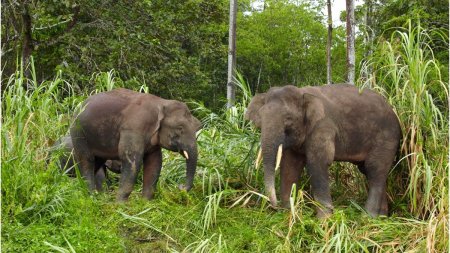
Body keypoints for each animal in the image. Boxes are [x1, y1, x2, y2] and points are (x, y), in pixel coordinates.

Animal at [70, 88, 200, 202]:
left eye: (197, 126)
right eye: (180, 128)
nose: (180, 186)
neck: (162, 103)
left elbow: (155, 162)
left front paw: (145, 204)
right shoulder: (133, 129)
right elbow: (132, 162)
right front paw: (120, 206)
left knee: (96, 163)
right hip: (79, 134)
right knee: (87, 161)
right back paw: (91, 197)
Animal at [246, 83, 400, 217]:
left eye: (288, 118)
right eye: (261, 117)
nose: (274, 206)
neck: (303, 93)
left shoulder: (323, 127)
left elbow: (318, 162)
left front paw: (324, 220)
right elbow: (290, 165)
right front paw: (288, 213)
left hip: (386, 139)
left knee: (375, 169)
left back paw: (368, 217)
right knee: (369, 171)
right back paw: (382, 218)